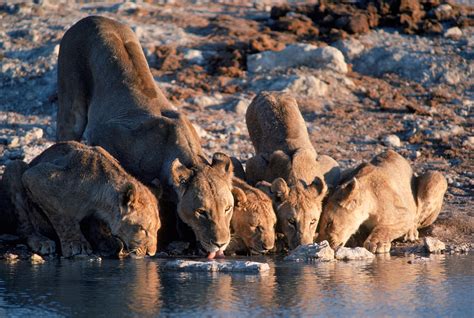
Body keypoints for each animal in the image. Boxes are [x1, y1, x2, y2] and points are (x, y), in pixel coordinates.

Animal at [1, 142, 161, 258]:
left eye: (157, 229)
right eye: (142, 229)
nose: (150, 253)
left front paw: (107, 243)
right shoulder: (37, 177)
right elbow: (62, 216)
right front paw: (76, 245)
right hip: (15, 167)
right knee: (24, 228)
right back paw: (41, 241)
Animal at [56, 15, 235, 258]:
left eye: (227, 208)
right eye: (202, 212)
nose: (221, 244)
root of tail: (91, 18)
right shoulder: (106, 137)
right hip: (71, 100)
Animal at [243, 90, 338, 250]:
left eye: (313, 221)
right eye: (291, 221)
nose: (303, 246)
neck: (296, 178)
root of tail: (268, 92)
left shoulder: (329, 164)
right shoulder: (254, 165)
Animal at [316, 150, 446, 255]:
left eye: (329, 224)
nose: (324, 243)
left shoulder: (404, 213)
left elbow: (385, 227)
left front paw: (376, 243)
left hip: (435, 178)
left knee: (417, 220)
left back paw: (410, 233)